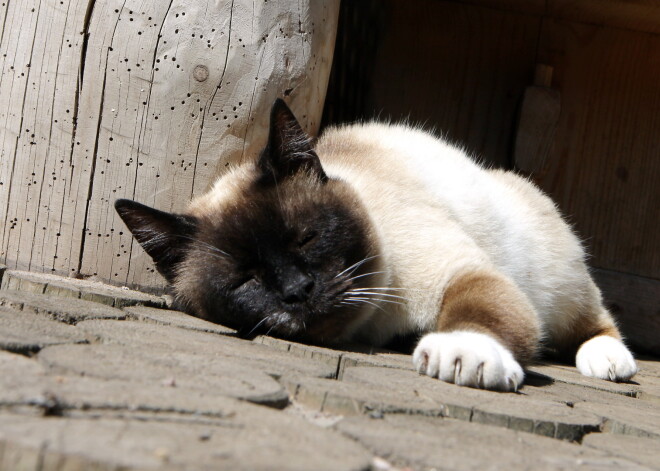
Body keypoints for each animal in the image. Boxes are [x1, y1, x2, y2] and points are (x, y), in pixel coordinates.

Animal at [116, 98, 636, 390]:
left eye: (307, 238)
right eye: (246, 279)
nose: (297, 291)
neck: (375, 326)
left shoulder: (462, 273)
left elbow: (478, 315)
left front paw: (461, 356)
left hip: (555, 284)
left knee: (596, 321)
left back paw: (608, 361)